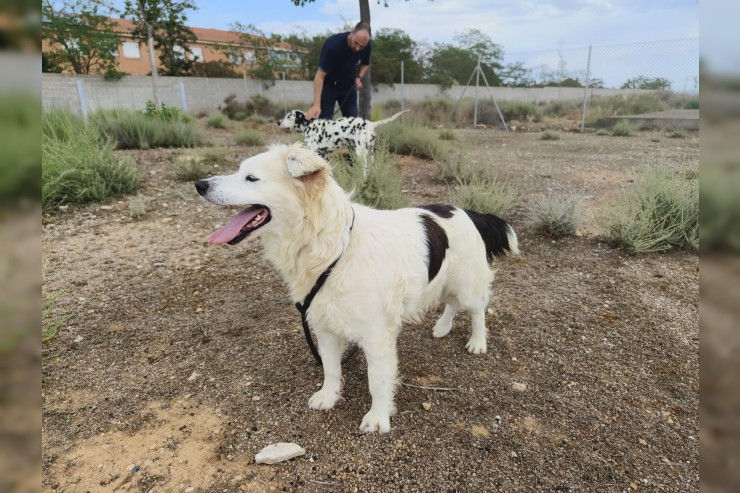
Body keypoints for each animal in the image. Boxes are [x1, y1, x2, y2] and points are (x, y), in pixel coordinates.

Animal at [197, 144, 520, 432]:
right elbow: (330, 367)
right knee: (451, 303)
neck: (332, 246)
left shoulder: (377, 335)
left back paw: (477, 341)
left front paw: (378, 417)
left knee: (477, 309)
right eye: (239, 171)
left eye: (251, 178)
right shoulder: (323, 325)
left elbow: (377, 380)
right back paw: (442, 327)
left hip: (466, 283)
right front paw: (329, 396)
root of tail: (467, 211)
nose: (200, 184)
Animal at [278, 108, 408, 176]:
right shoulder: (322, 155)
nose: (278, 122)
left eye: (288, 116)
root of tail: (370, 124)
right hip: (370, 153)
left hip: (361, 154)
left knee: (365, 171)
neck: (309, 125)